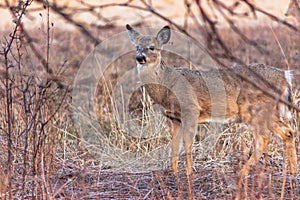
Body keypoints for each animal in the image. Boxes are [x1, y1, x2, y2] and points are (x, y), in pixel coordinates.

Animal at [125, 24, 298, 195]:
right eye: (137, 47)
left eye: (152, 47)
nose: (140, 57)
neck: (167, 86)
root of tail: (285, 76)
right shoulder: (175, 118)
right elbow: (174, 146)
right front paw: (173, 173)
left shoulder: (191, 110)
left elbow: (187, 143)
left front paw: (189, 173)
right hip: (268, 111)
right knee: (288, 132)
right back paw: (293, 173)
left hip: (254, 109)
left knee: (264, 138)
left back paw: (242, 174)